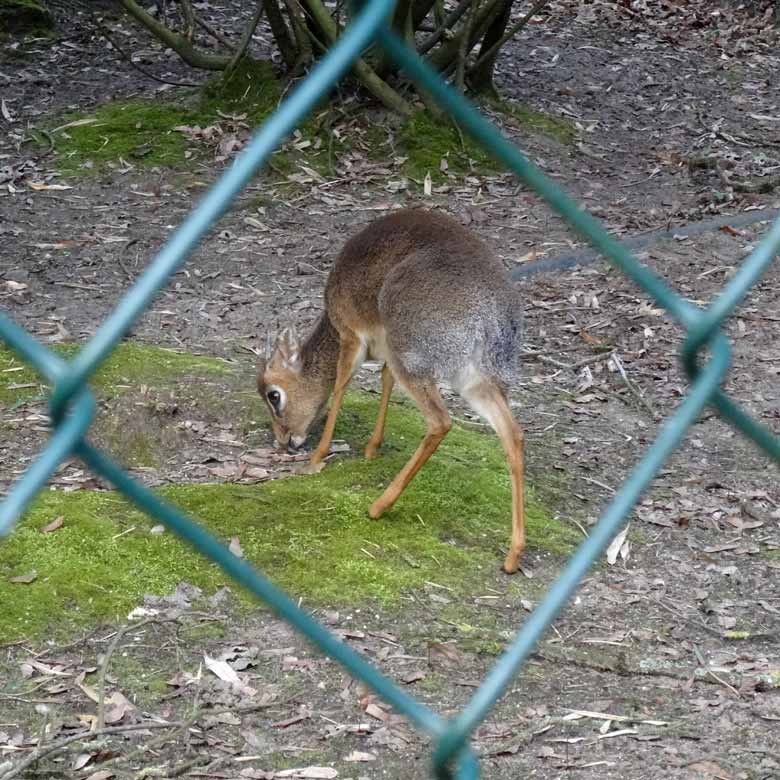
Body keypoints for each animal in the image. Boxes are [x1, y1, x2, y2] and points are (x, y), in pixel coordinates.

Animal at [258, 207, 528, 572]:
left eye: (274, 395)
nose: (284, 441)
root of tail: (491, 321)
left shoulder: (352, 335)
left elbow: (341, 385)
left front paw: (315, 459)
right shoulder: (384, 350)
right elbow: (385, 379)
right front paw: (372, 448)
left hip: (416, 360)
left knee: (441, 421)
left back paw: (378, 506)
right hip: (476, 380)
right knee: (513, 434)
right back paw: (513, 554)